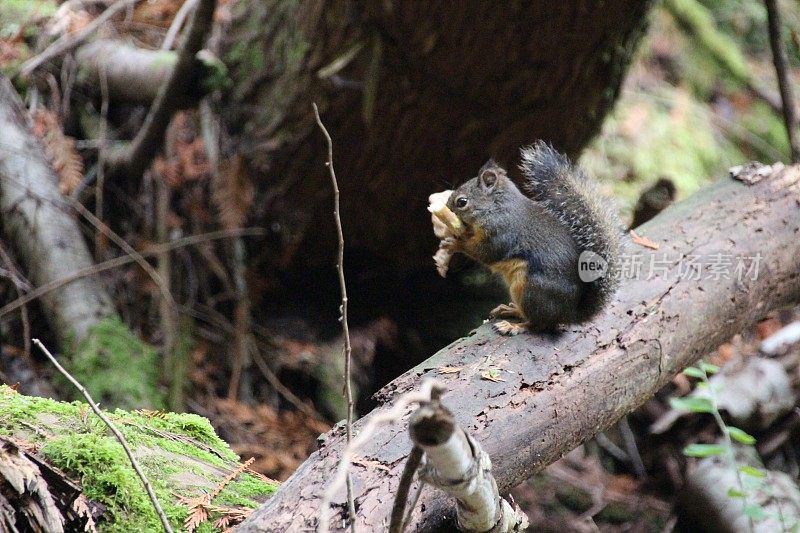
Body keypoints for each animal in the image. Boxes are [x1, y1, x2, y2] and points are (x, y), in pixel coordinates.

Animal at [444, 140, 624, 332]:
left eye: (462, 202)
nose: (446, 207)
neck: (497, 207)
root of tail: (569, 314)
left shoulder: (501, 231)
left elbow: (485, 252)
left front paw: (456, 243)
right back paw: (510, 310)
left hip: (530, 289)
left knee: (537, 324)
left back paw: (513, 326)